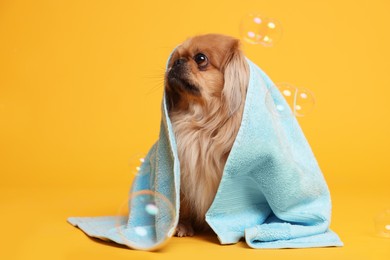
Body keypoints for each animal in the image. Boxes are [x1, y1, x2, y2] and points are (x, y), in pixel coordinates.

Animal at [165, 34, 250, 238]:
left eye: (200, 58)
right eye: (175, 58)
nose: (178, 61)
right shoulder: (184, 171)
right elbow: (183, 204)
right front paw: (182, 225)